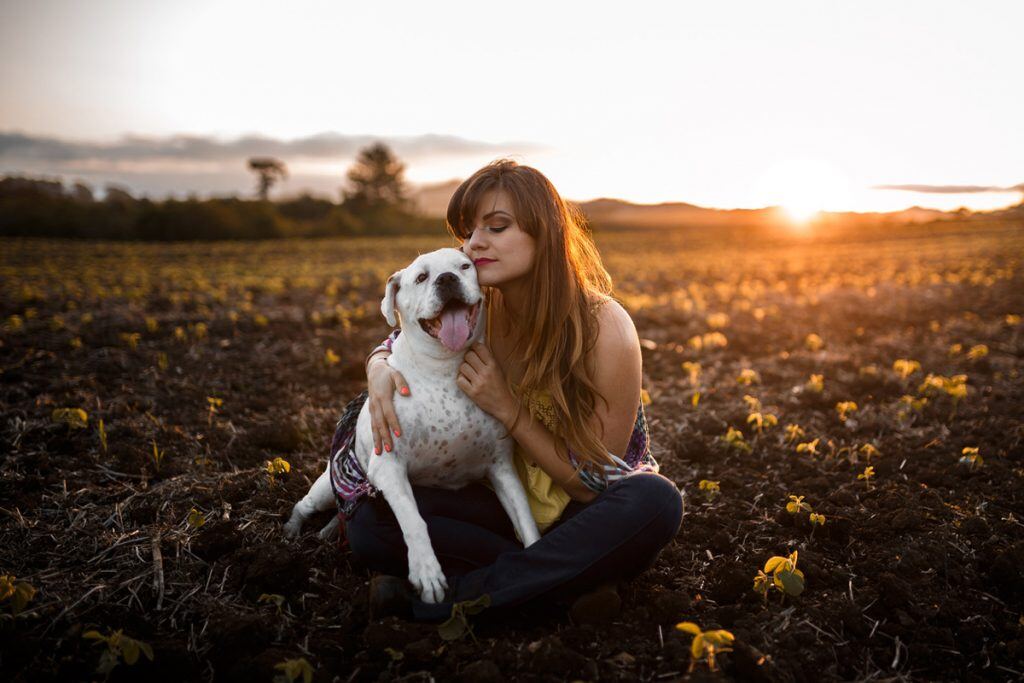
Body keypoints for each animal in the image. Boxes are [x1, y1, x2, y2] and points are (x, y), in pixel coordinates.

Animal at [280, 245, 536, 602]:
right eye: (421, 277)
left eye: (465, 266)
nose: (447, 279)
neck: (445, 367)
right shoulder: (388, 467)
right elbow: (414, 521)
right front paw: (427, 572)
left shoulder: (502, 470)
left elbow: (526, 521)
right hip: (325, 489)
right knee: (305, 505)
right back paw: (290, 534)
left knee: (344, 516)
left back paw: (330, 531)